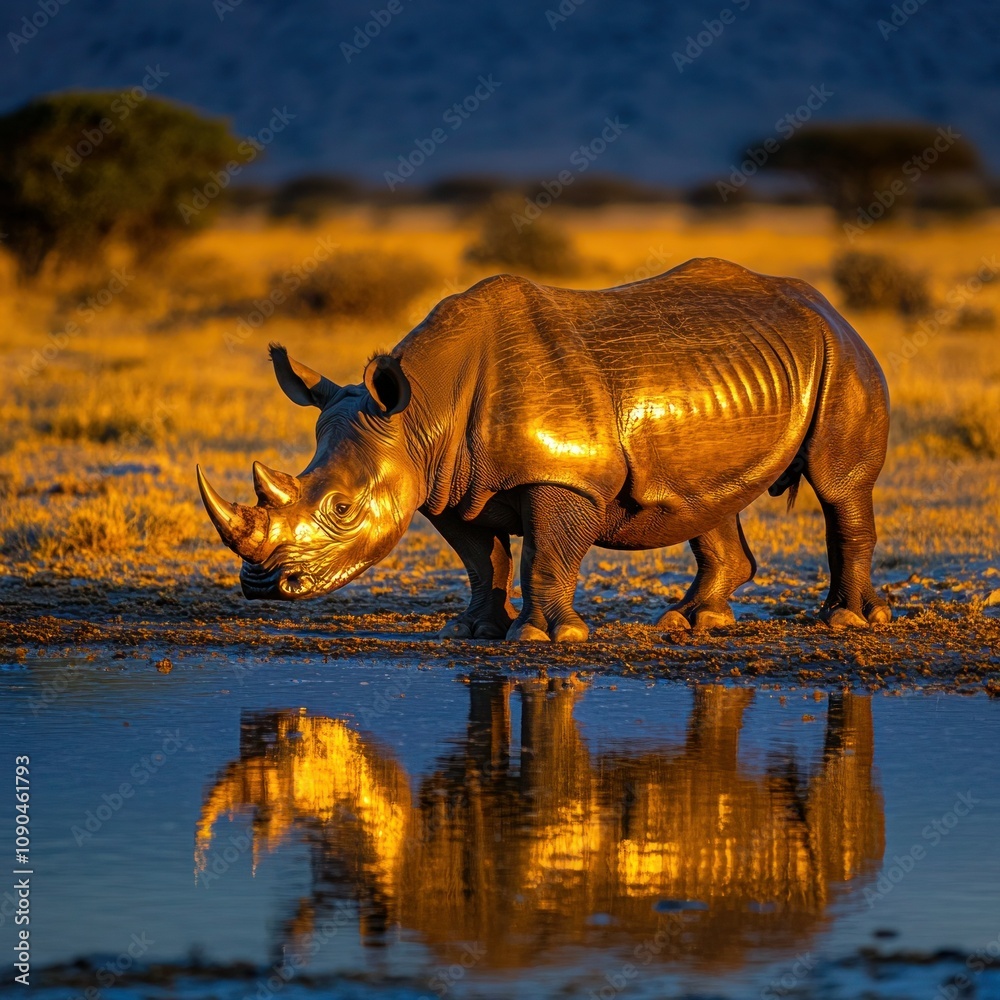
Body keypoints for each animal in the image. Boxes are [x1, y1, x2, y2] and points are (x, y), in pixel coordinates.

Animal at [197, 258, 891, 640]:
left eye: (341, 509)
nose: (261, 587)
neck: (421, 415)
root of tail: (827, 306)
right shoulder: (448, 486)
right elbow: (482, 561)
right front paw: (472, 630)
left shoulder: (565, 476)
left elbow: (547, 554)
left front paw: (546, 637)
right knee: (703, 497)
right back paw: (692, 623)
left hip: (843, 356)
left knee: (839, 487)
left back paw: (848, 622)